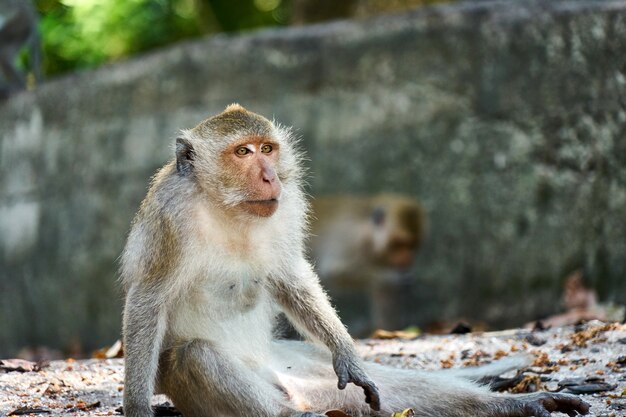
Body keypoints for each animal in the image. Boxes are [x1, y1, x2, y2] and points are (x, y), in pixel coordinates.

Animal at [308, 193, 424, 334]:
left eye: (411, 245)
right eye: (400, 244)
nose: (408, 258)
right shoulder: (347, 240)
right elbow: (335, 272)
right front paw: (392, 278)